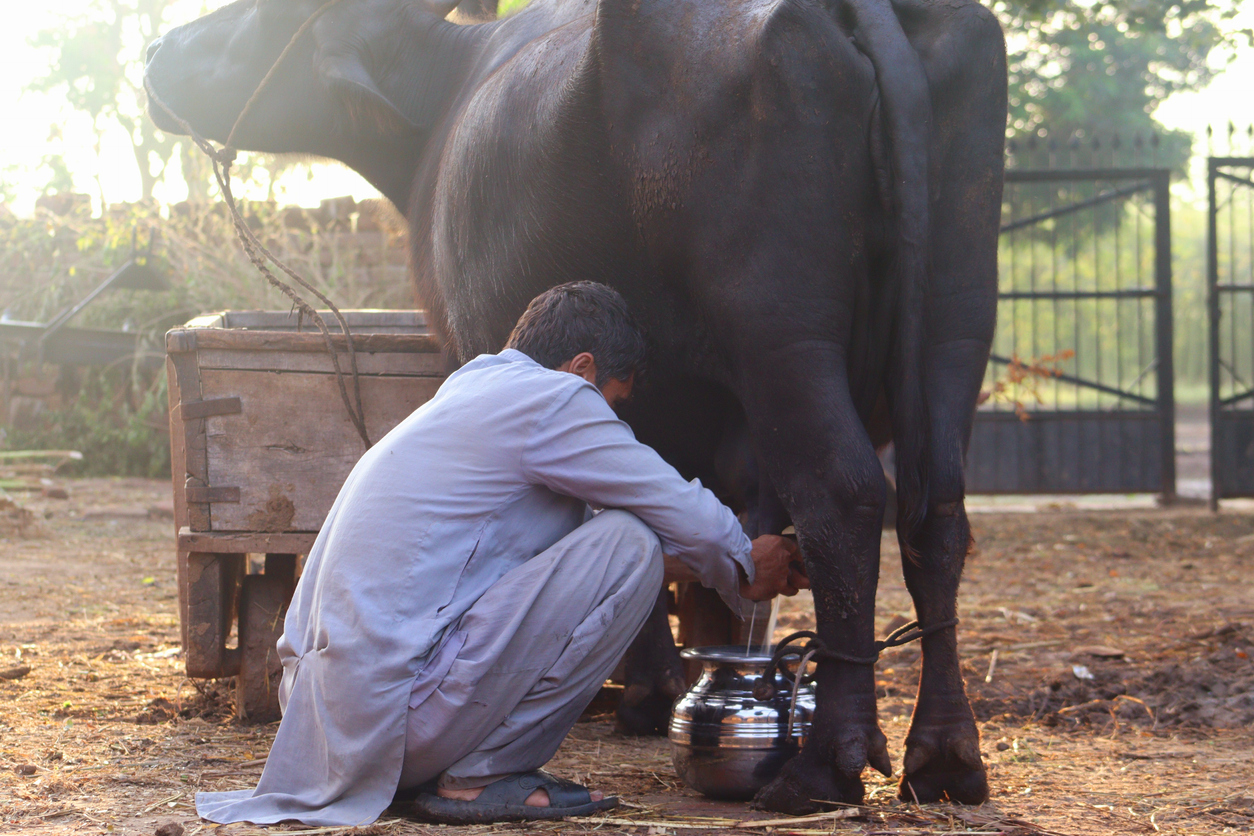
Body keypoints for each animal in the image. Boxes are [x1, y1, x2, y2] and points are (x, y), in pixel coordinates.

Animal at [145, 0, 1006, 812]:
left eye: (266, 14)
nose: (158, 51)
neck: (443, 99)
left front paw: (651, 693)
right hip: (957, 324)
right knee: (936, 515)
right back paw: (944, 756)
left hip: (783, 334)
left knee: (844, 498)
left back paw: (826, 763)